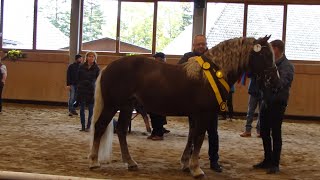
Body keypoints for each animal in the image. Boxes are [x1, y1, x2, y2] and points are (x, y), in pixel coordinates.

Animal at [88, 35, 278, 178]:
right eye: (264, 55)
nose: (275, 81)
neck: (210, 75)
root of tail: (108, 68)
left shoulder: (195, 115)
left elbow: (191, 137)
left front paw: (186, 164)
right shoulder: (203, 114)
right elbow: (199, 138)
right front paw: (196, 168)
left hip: (127, 107)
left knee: (120, 130)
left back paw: (130, 162)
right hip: (112, 105)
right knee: (100, 126)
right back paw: (94, 161)